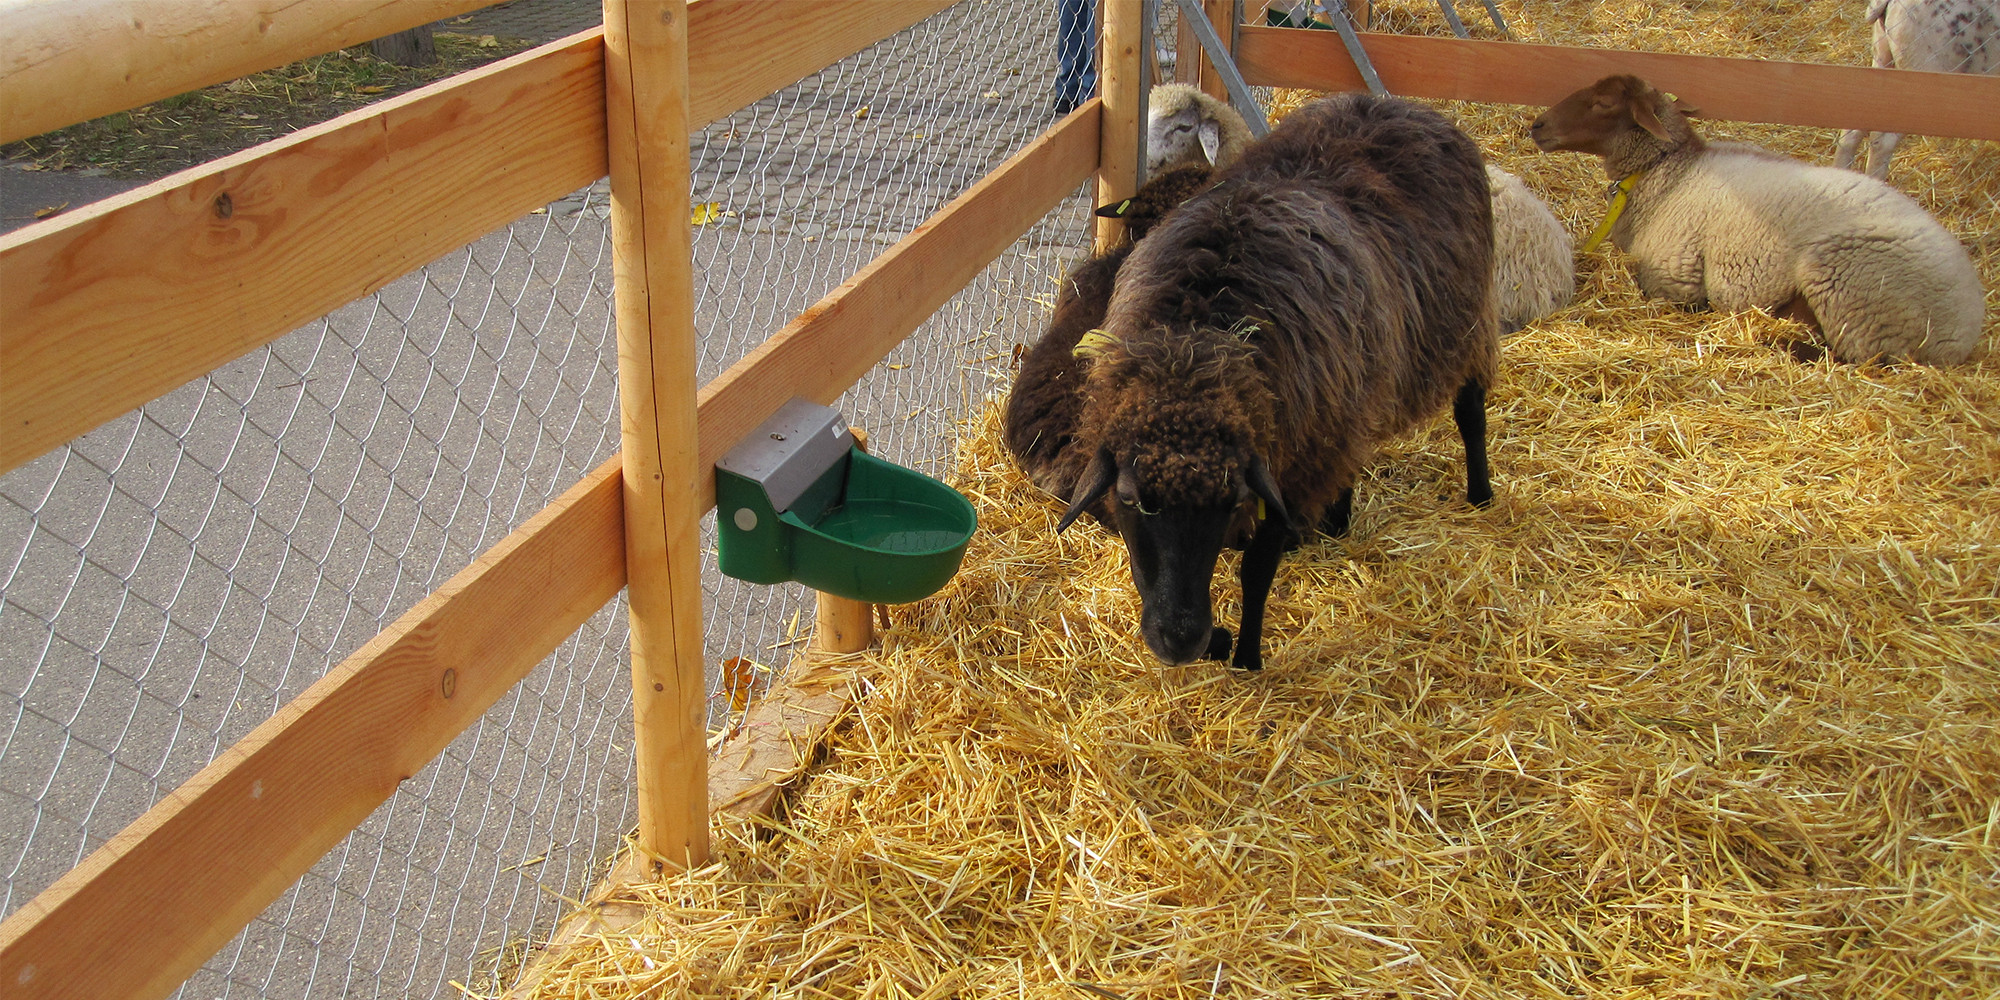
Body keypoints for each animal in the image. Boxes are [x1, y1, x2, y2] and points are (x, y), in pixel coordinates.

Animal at [1064, 94, 1504, 672]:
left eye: (1229, 502)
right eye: (1134, 500)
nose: (1180, 642)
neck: (1195, 347)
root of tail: (1394, 104)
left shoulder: (1287, 462)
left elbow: (1256, 571)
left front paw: (1247, 656)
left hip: (1468, 320)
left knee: (1471, 409)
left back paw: (1480, 494)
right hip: (1350, 390)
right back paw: (1337, 521)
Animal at [1528, 74, 1984, 366]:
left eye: (1604, 102)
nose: (1537, 125)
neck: (1670, 173)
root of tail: (1965, 327)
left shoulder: (1672, 277)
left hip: (1851, 287)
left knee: (1853, 356)